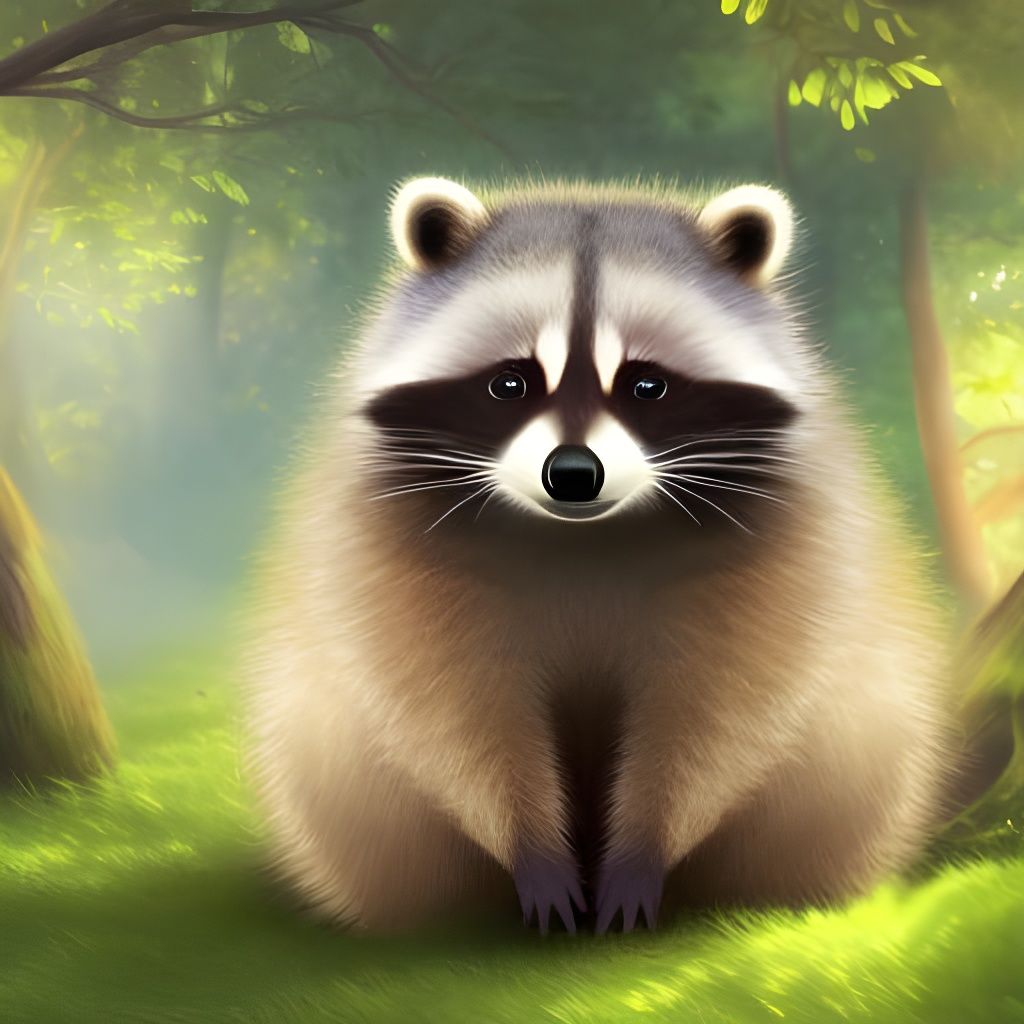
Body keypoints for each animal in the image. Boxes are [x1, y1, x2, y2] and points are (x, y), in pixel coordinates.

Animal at [243, 178, 953, 934]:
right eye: (512, 382)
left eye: (646, 384)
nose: (574, 474)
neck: (582, 535)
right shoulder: (390, 537)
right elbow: (448, 706)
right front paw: (532, 847)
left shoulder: (784, 539)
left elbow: (724, 708)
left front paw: (644, 847)